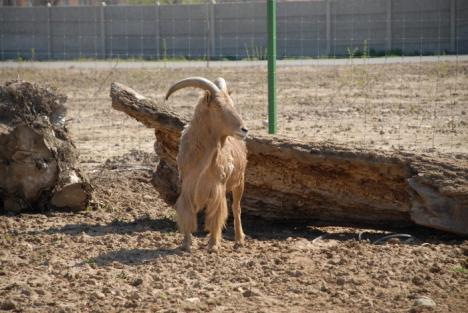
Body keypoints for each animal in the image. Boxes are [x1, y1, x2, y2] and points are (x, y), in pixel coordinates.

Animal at [165, 77, 249, 252]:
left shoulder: (217, 187)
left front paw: (213, 245)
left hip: (239, 182)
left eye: (231, 103)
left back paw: (239, 240)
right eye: (218, 106)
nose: (244, 129)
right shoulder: (187, 186)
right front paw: (187, 244)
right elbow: (188, 213)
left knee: (236, 208)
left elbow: (216, 216)